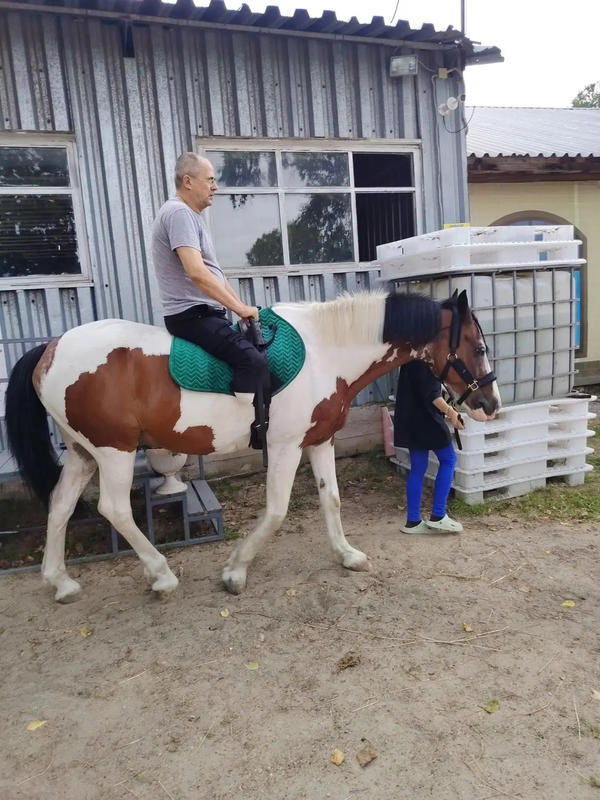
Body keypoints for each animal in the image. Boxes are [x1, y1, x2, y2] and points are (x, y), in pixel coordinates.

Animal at [5, 289, 500, 602]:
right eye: (477, 346)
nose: (490, 404)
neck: (325, 352)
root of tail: (51, 347)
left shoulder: (319, 441)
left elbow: (332, 500)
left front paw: (347, 555)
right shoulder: (284, 446)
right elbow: (278, 511)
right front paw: (235, 570)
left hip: (83, 453)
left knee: (60, 506)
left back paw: (60, 582)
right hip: (114, 451)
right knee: (114, 508)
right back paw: (161, 575)